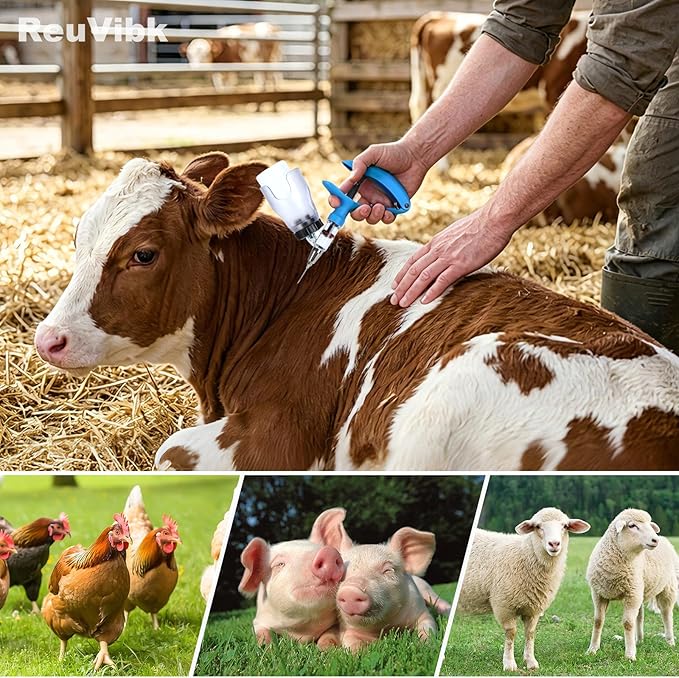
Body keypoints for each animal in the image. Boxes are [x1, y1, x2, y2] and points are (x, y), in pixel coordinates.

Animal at [238, 509, 345, 648]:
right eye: (279, 564)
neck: (301, 631)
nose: (329, 552)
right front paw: (268, 648)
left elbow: (330, 633)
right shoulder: (258, 620)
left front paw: (325, 649)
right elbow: (262, 633)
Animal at [308, 506, 445, 651]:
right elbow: (351, 642)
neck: (385, 626)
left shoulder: (421, 612)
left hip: (427, 589)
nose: (351, 590)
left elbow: (428, 627)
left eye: (388, 570)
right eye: (341, 574)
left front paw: (424, 646)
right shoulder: (348, 629)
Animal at [458, 507, 590, 671]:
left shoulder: (534, 608)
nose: (554, 544)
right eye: (538, 526)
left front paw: (531, 662)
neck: (526, 554)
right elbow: (511, 634)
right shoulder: (504, 605)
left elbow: (530, 633)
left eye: (565, 526)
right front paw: (509, 664)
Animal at [586, 508, 678, 661]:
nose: (655, 540)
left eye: (649, 525)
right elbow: (598, 621)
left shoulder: (631, 594)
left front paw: (629, 655)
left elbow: (628, 624)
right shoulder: (599, 594)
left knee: (667, 614)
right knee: (640, 617)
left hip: (667, 588)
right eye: (632, 526)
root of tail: (665, 539)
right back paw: (638, 640)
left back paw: (670, 641)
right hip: (640, 590)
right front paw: (592, 649)